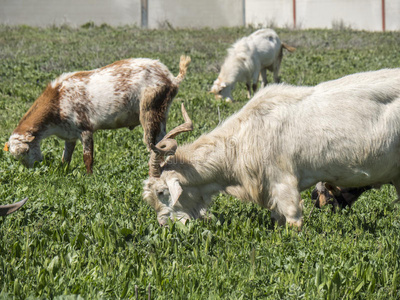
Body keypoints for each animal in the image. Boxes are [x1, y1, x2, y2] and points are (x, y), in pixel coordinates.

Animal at [3, 56, 191, 173]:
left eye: (26, 151)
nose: (33, 168)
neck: (58, 99)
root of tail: (171, 78)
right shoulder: (69, 135)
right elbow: (66, 158)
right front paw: (62, 172)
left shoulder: (85, 129)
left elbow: (88, 157)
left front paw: (89, 177)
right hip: (161, 115)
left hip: (151, 111)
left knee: (154, 144)